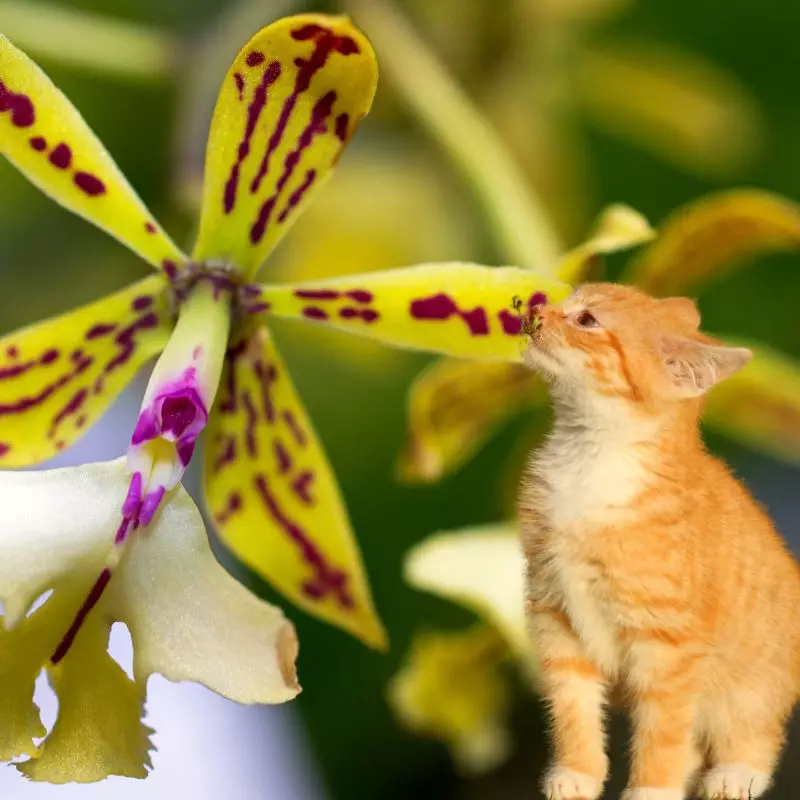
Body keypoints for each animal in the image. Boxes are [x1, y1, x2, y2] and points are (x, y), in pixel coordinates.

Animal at [520, 282, 800, 800]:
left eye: (586, 320)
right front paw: (577, 772)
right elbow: (572, 705)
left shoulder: (668, 642)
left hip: (755, 678)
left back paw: (737, 771)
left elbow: (663, 727)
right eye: (566, 301)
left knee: (753, 725)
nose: (533, 310)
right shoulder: (554, 614)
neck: (590, 461)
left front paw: (650, 789)